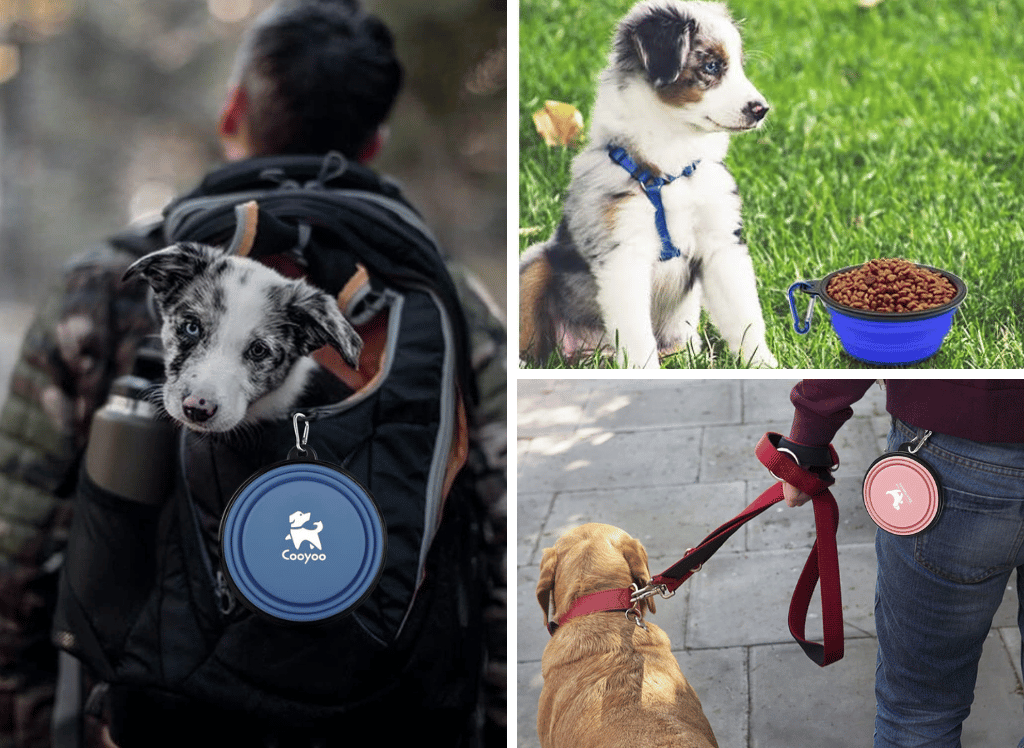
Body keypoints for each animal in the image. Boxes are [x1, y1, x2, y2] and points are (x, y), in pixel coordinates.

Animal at [520, 0, 774, 366]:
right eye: (711, 66)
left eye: (740, 67)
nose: (762, 109)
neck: (671, 168)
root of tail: (585, 350)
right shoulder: (623, 254)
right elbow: (637, 335)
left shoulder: (721, 244)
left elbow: (744, 316)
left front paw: (764, 363)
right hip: (535, 263)